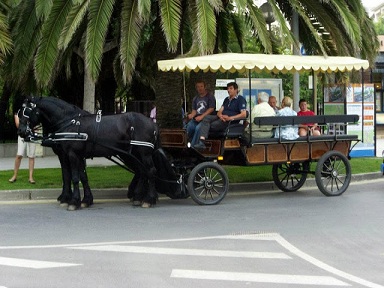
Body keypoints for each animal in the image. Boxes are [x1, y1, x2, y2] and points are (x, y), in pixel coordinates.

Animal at [18, 96, 160, 209]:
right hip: (132, 154)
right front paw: (85, 200)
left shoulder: (72, 154)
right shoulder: (75, 155)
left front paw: (73, 201)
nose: (21, 132)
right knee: (142, 171)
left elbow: (74, 177)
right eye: (19, 114)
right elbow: (79, 176)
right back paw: (138, 197)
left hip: (143, 154)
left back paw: (149, 199)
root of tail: (152, 123)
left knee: (151, 171)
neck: (69, 122)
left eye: (27, 112)